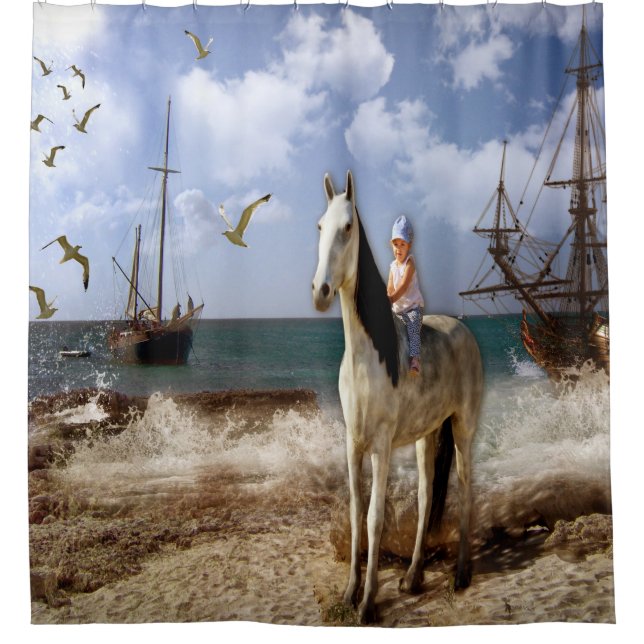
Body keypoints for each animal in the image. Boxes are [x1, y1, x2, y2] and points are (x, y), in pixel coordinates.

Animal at [312, 170, 483, 624]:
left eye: (348, 227)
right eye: (319, 226)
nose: (320, 291)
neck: (366, 358)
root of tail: (466, 332)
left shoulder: (381, 446)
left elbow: (374, 518)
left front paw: (368, 602)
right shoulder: (352, 444)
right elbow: (356, 514)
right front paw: (349, 592)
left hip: (462, 428)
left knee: (465, 488)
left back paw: (461, 575)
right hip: (428, 435)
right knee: (426, 498)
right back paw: (413, 577)